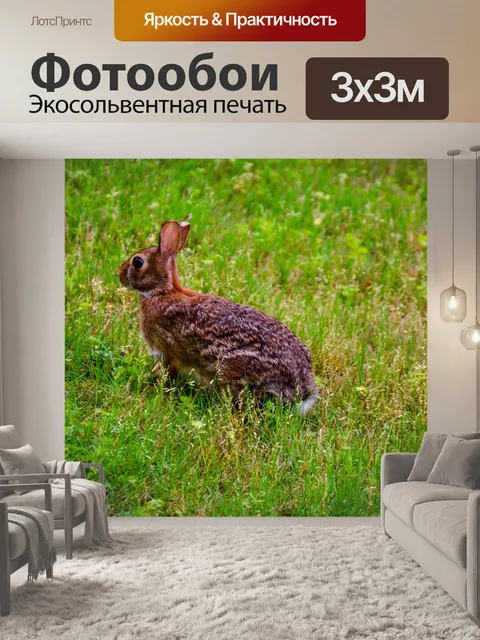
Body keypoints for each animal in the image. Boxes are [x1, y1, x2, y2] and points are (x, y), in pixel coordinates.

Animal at [117, 216, 320, 415]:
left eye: (137, 262)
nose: (119, 274)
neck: (162, 292)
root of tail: (302, 386)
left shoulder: (168, 352)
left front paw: (151, 382)